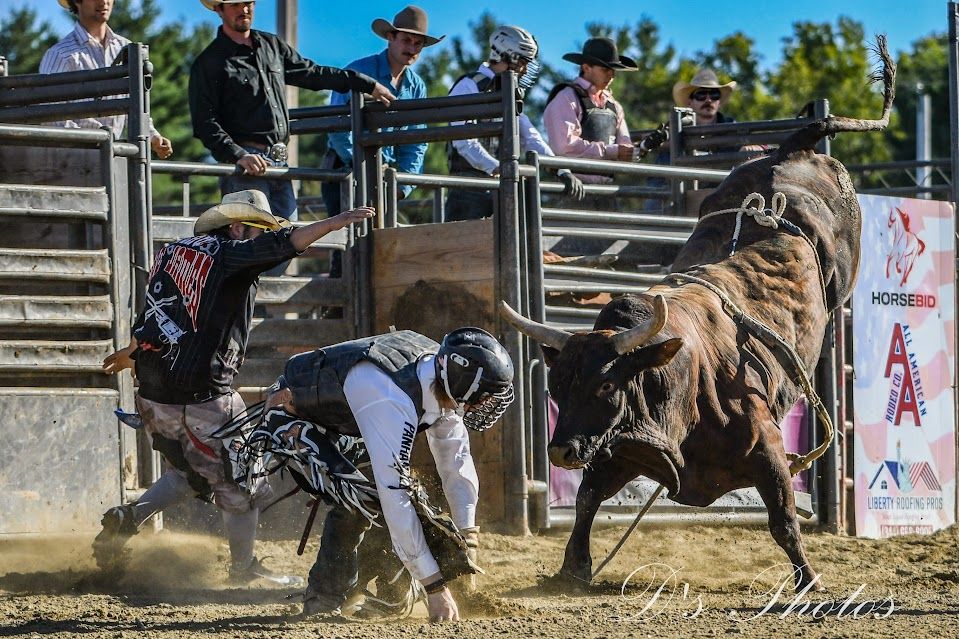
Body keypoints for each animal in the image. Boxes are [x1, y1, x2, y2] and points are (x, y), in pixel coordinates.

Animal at [501, 37, 896, 592]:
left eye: (606, 385)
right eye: (556, 387)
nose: (560, 453)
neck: (679, 385)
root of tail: (788, 150)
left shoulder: (768, 448)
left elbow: (783, 517)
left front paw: (808, 579)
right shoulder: (618, 449)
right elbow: (585, 500)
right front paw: (572, 567)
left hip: (845, 262)